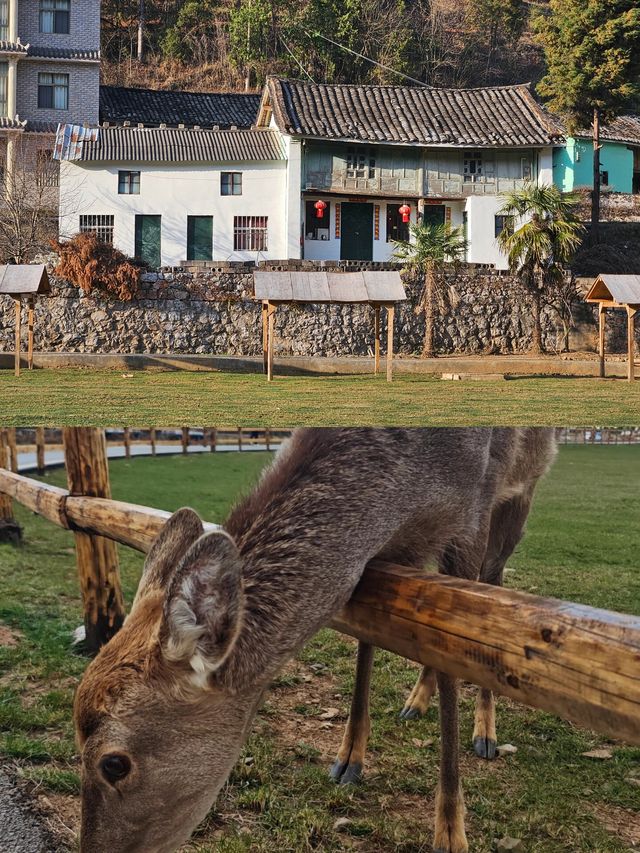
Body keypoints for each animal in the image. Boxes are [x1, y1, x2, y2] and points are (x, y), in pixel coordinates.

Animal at [74, 426, 556, 852]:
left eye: (113, 764)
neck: (416, 484)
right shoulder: (383, 553)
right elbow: (370, 640)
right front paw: (348, 759)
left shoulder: (475, 513)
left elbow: (461, 649)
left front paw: (451, 832)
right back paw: (415, 701)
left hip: (521, 495)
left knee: (493, 592)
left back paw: (485, 733)